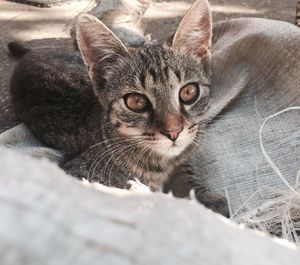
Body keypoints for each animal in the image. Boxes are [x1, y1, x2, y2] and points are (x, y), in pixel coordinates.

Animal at [10, 0, 229, 216]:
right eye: (136, 101)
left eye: (189, 92)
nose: (174, 132)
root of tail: (34, 52)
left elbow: (184, 171)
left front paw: (203, 197)